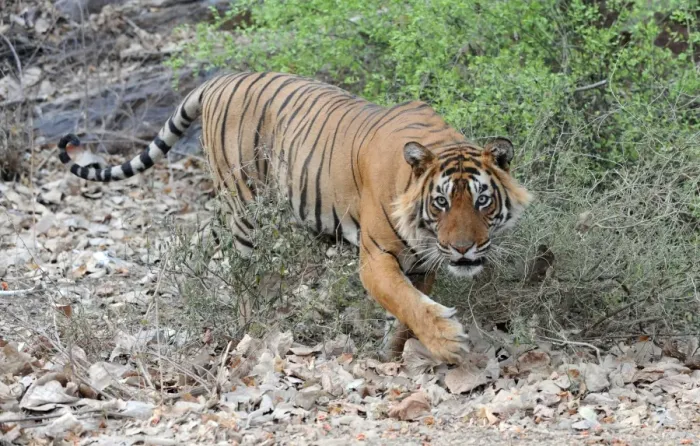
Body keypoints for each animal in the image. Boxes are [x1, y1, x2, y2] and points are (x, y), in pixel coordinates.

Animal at [57, 72, 532, 364]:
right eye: (440, 203)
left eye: (482, 201)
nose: (463, 249)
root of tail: (219, 79)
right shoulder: (376, 258)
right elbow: (406, 301)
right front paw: (448, 342)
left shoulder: (423, 262)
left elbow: (407, 309)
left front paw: (394, 351)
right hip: (245, 206)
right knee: (246, 275)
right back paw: (258, 326)